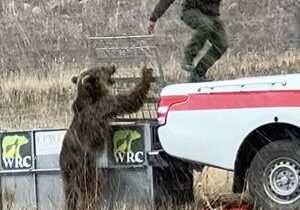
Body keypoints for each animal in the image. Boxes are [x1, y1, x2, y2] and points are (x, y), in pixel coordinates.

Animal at [60, 65, 156, 210]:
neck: (93, 95)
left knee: (70, 195)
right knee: (90, 189)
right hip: (84, 168)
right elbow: (128, 101)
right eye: (102, 68)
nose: (113, 66)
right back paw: (90, 203)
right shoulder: (103, 106)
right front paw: (146, 75)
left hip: (67, 176)